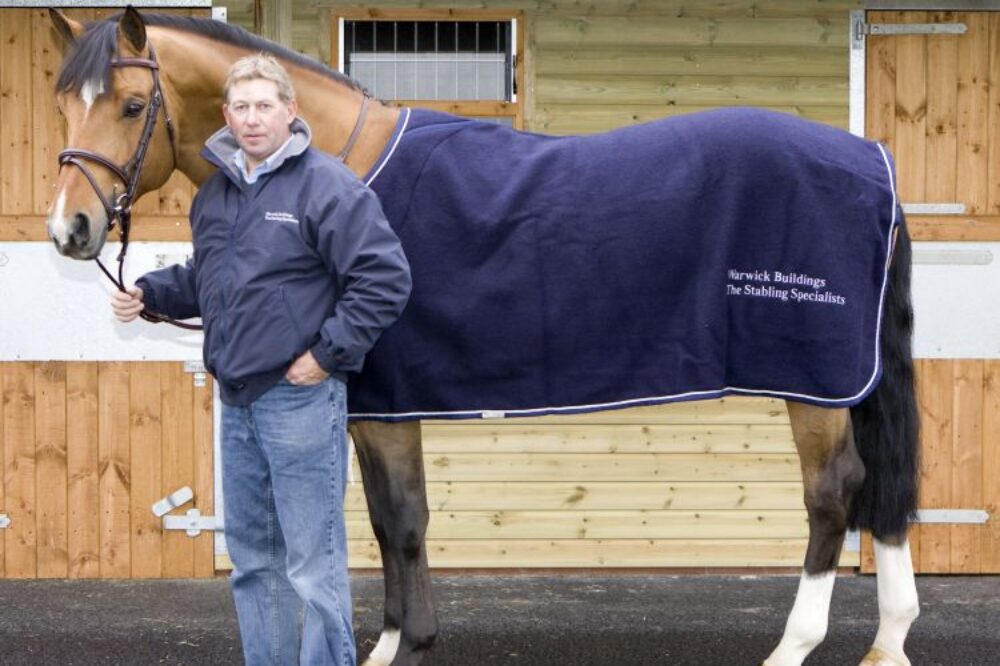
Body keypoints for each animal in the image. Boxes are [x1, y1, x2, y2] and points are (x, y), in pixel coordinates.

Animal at [48, 9, 920, 664]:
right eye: (64, 106)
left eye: (132, 107)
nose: (70, 230)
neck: (345, 167)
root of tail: (872, 163)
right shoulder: (379, 407)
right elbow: (387, 520)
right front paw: (400, 640)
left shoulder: (387, 405)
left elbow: (402, 520)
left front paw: (403, 647)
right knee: (880, 489)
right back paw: (888, 641)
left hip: (815, 385)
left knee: (834, 492)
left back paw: (793, 646)